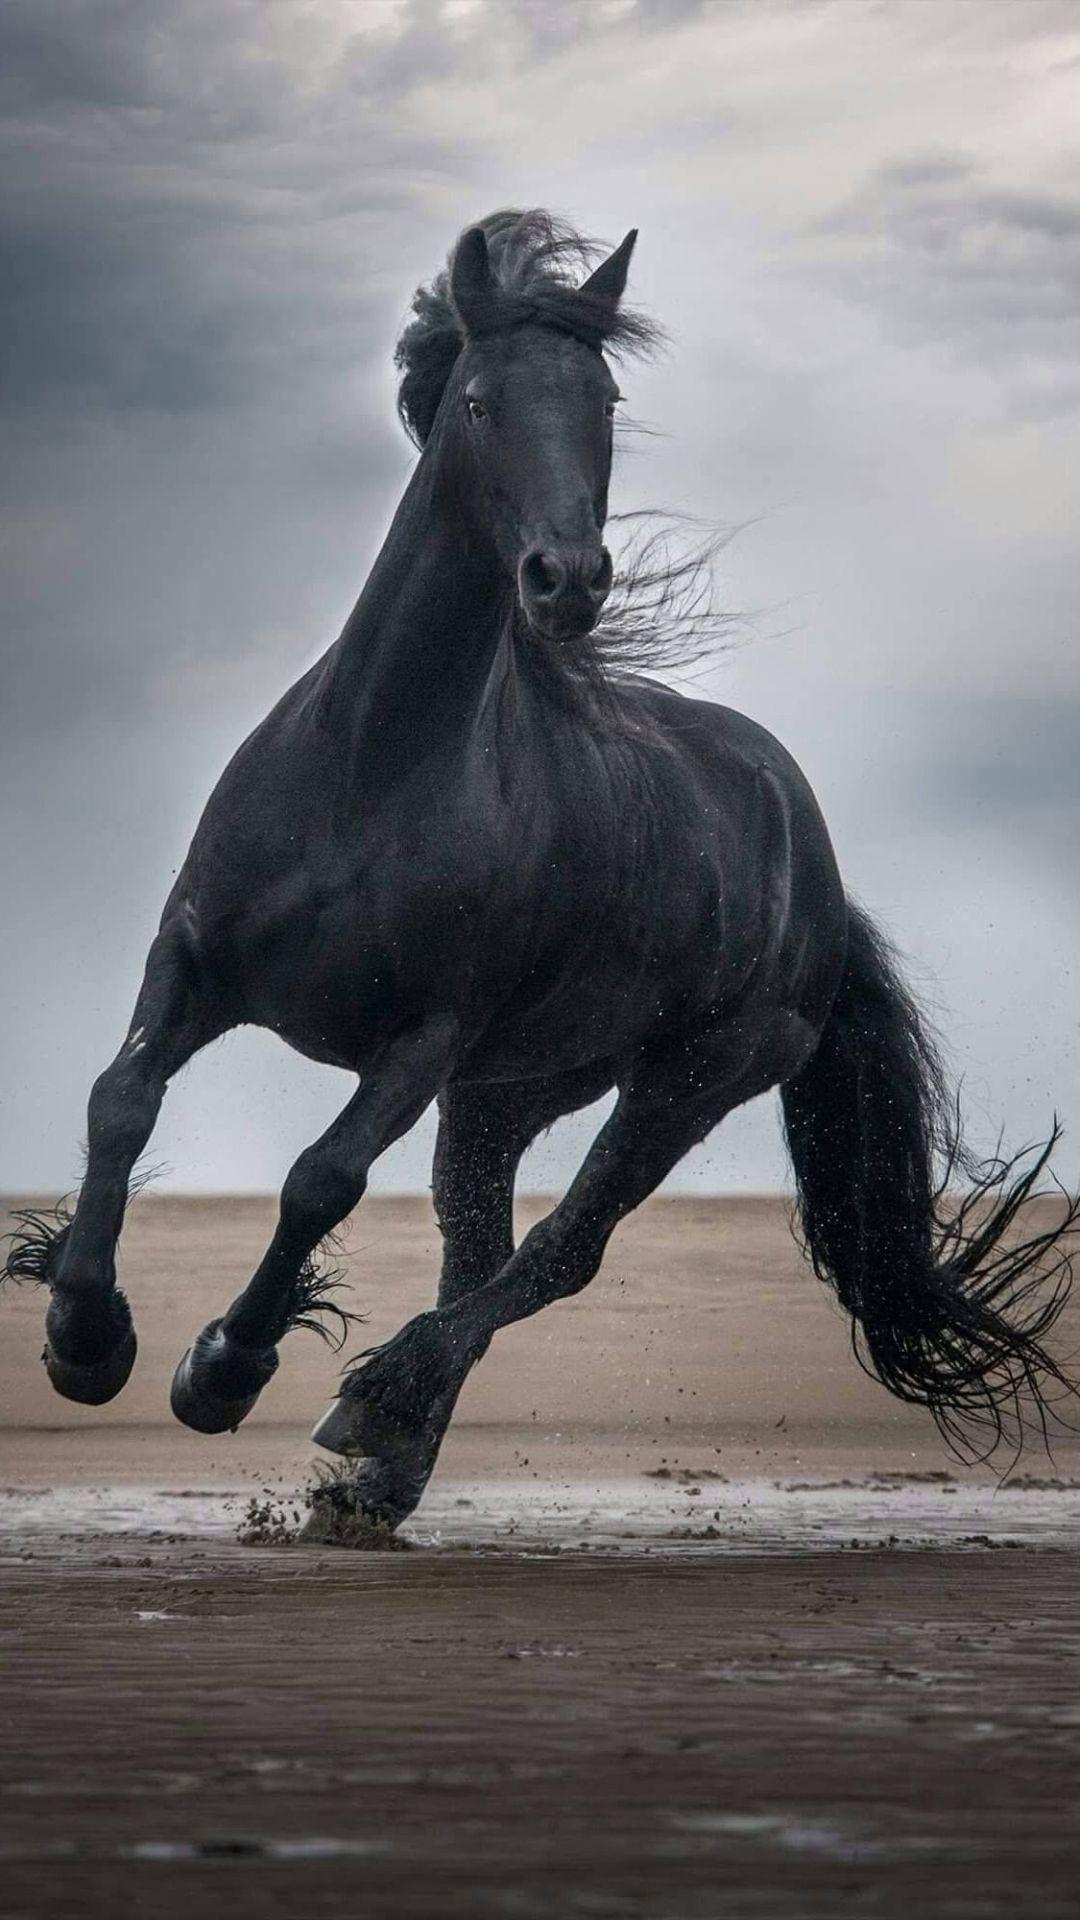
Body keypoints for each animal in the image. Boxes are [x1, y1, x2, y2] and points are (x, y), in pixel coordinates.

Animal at [6, 209, 1076, 1529]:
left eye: (604, 398)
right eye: (476, 401)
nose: (566, 582)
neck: (372, 768)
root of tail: (814, 863)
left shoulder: (423, 1038)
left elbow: (320, 1180)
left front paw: (221, 1369)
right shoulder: (198, 961)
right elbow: (121, 1099)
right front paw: (84, 1336)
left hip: (687, 1080)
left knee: (557, 1253)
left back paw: (378, 1402)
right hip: (512, 1091)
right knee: (479, 1246)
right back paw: (377, 1477)